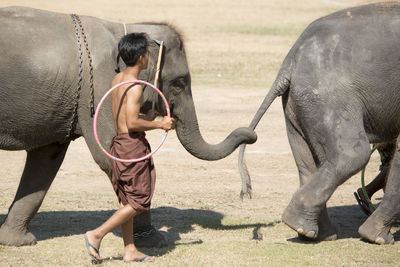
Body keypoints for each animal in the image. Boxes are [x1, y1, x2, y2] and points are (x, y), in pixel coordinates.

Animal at [0, 6, 256, 248]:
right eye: (180, 82)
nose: (251, 135)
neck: (124, 27)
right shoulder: (100, 89)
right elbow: (114, 158)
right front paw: (155, 241)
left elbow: (46, 159)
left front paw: (18, 241)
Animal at [238, 1, 400, 245]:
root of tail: (291, 59)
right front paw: (379, 239)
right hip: (329, 98)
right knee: (352, 155)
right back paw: (303, 225)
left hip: (298, 105)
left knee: (308, 164)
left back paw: (314, 232)